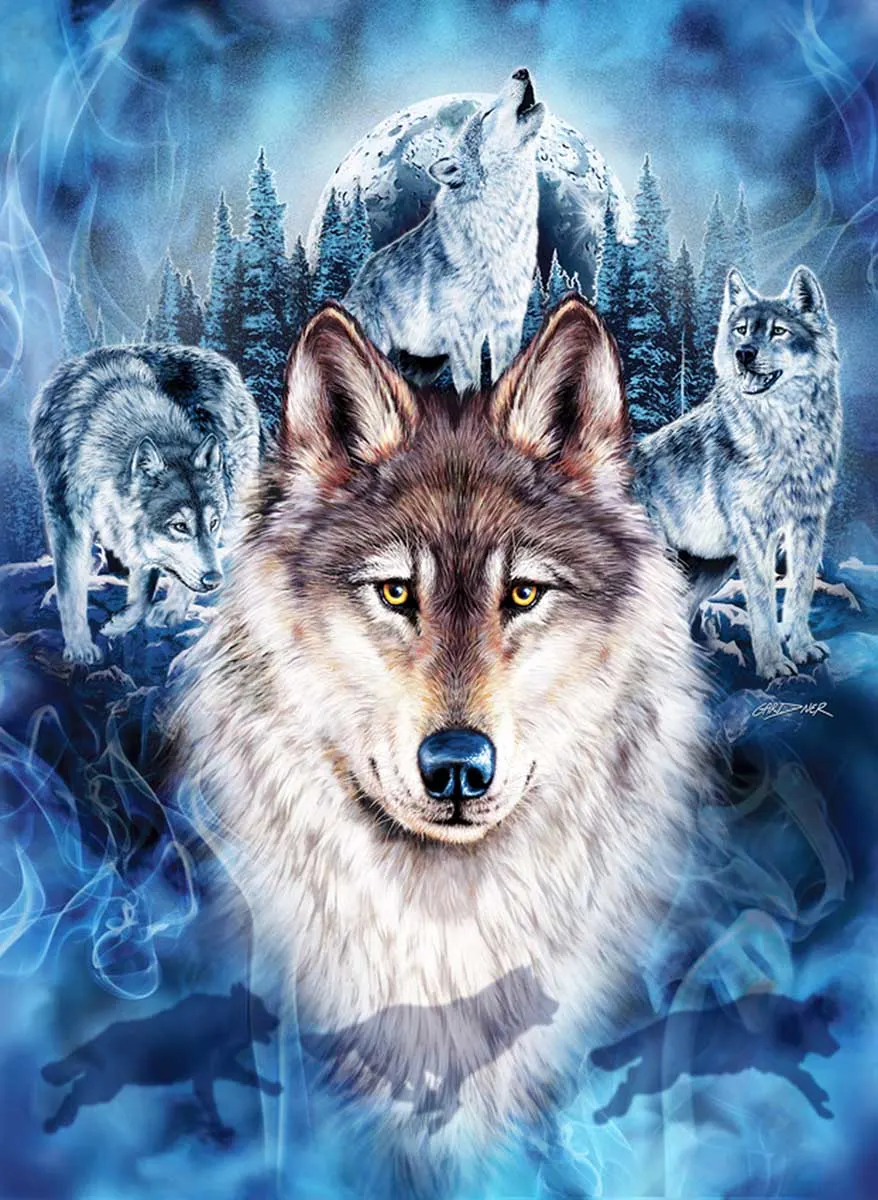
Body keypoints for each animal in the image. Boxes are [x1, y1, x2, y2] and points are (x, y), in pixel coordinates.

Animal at [30, 344, 261, 663]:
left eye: (211, 523)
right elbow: (71, 590)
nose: (214, 580)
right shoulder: (66, 520)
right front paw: (79, 647)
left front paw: (117, 625)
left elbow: (143, 595)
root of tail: (228, 368)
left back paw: (173, 610)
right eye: (180, 526)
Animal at [42, 984, 281, 1138]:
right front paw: (221, 1131)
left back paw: (62, 1120)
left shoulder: (223, 1067)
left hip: (105, 1084)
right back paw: (55, 1123)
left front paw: (273, 1089)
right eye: (259, 1007)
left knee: (76, 1086)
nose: (277, 1021)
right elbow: (211, 1104)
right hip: (107, 1087)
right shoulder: (204, 1074)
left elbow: (252, 1077)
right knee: (76, 1090)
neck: (225, 1025)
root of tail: (96, 1039)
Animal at [344, 68, 544, 393]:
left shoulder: (507, 325)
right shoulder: (463, 333)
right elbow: (471, 386)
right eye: (487, 113)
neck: (501, 230)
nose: (521, 71)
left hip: (427, 366)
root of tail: (361, 275)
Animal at [591, 992, 839, 1124]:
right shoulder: (775, 1061)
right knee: (628, 1083)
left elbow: (805, 1079)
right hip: (662, 1075)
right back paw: (606, 1114)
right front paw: (822, 1104)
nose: (837, 1047)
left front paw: (822, 1099)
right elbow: (804, 1080)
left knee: (629, 1078)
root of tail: (653, 1028)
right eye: (821, 1028)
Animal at [632, 266, 841, 681]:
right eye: (742, 330)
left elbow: (800, 589)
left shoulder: (808, 523)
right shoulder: (755, 531)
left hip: (714, 568)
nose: (743, 354)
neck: (787, 435)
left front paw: (803, 648)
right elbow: (762, 600)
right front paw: (773, 664)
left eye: (779, 331)